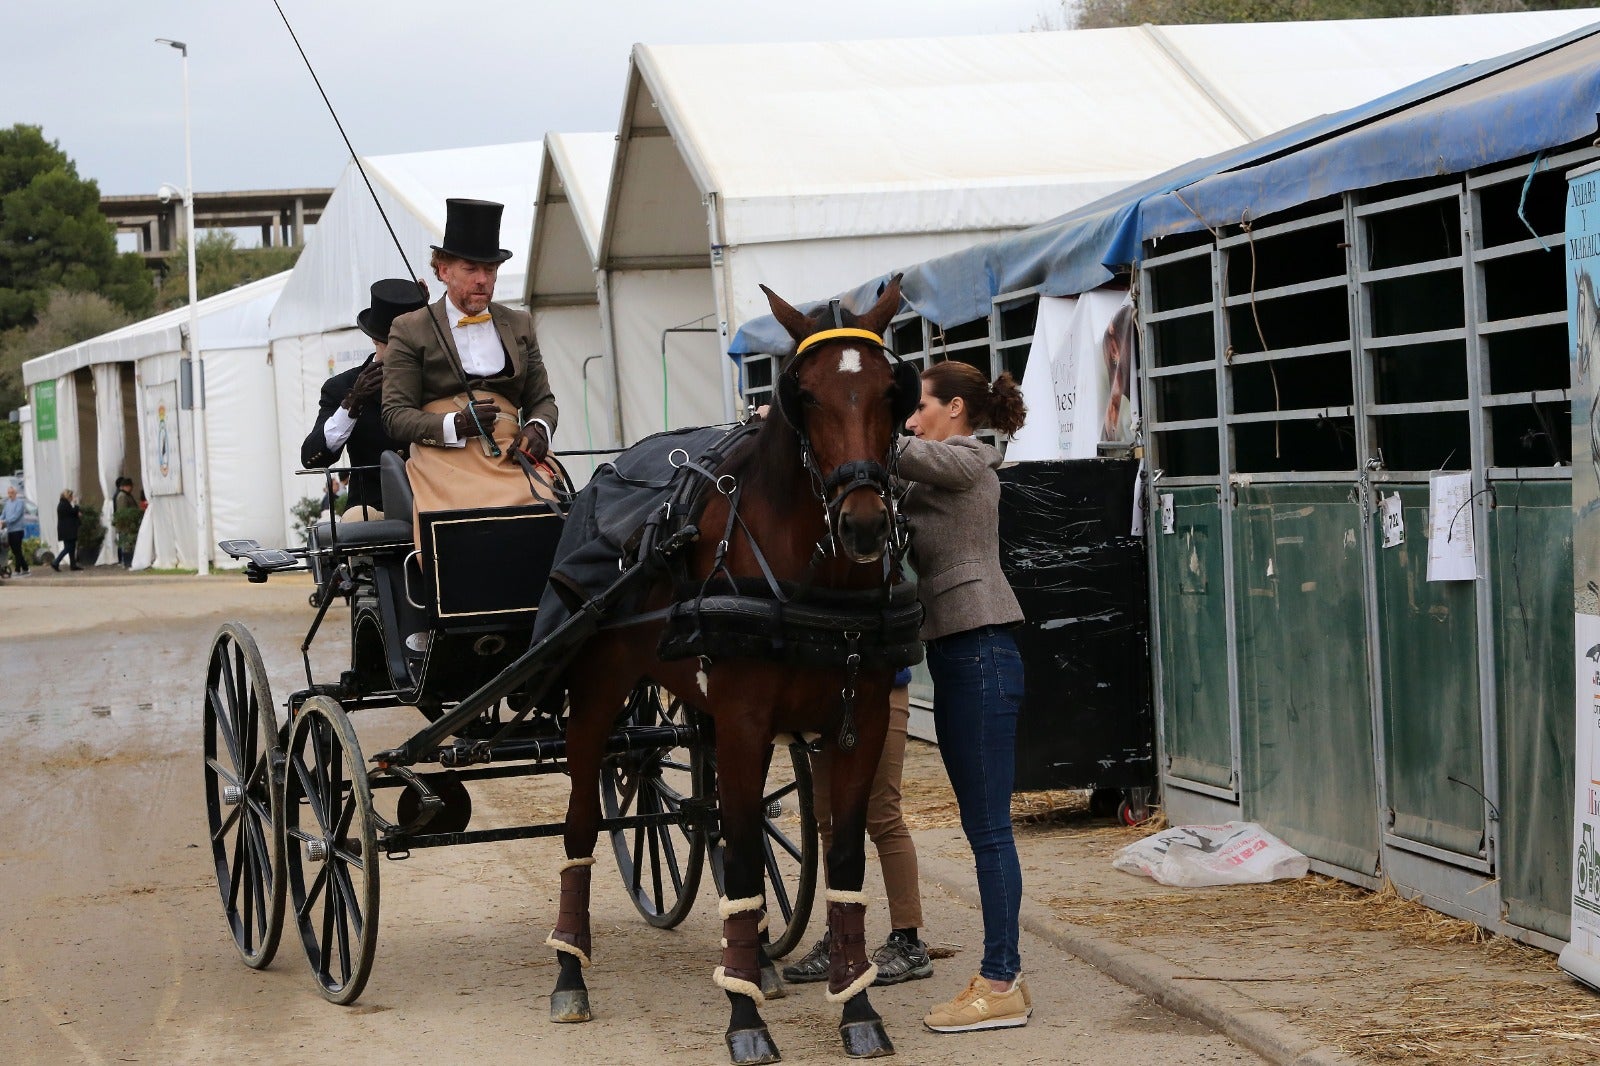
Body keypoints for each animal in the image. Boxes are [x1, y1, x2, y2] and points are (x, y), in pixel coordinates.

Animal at [544, 273, 915, 1056]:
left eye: (890, 391)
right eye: (804, 394)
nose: (865, 522)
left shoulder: (857, 721)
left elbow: (842, 862)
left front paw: (857, 1010)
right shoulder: (747, 723)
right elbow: (743, 859)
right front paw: (744, 1022)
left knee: (706, 814)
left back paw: (757, 964)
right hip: (596, 698)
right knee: (581, 825)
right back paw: (570, 972)